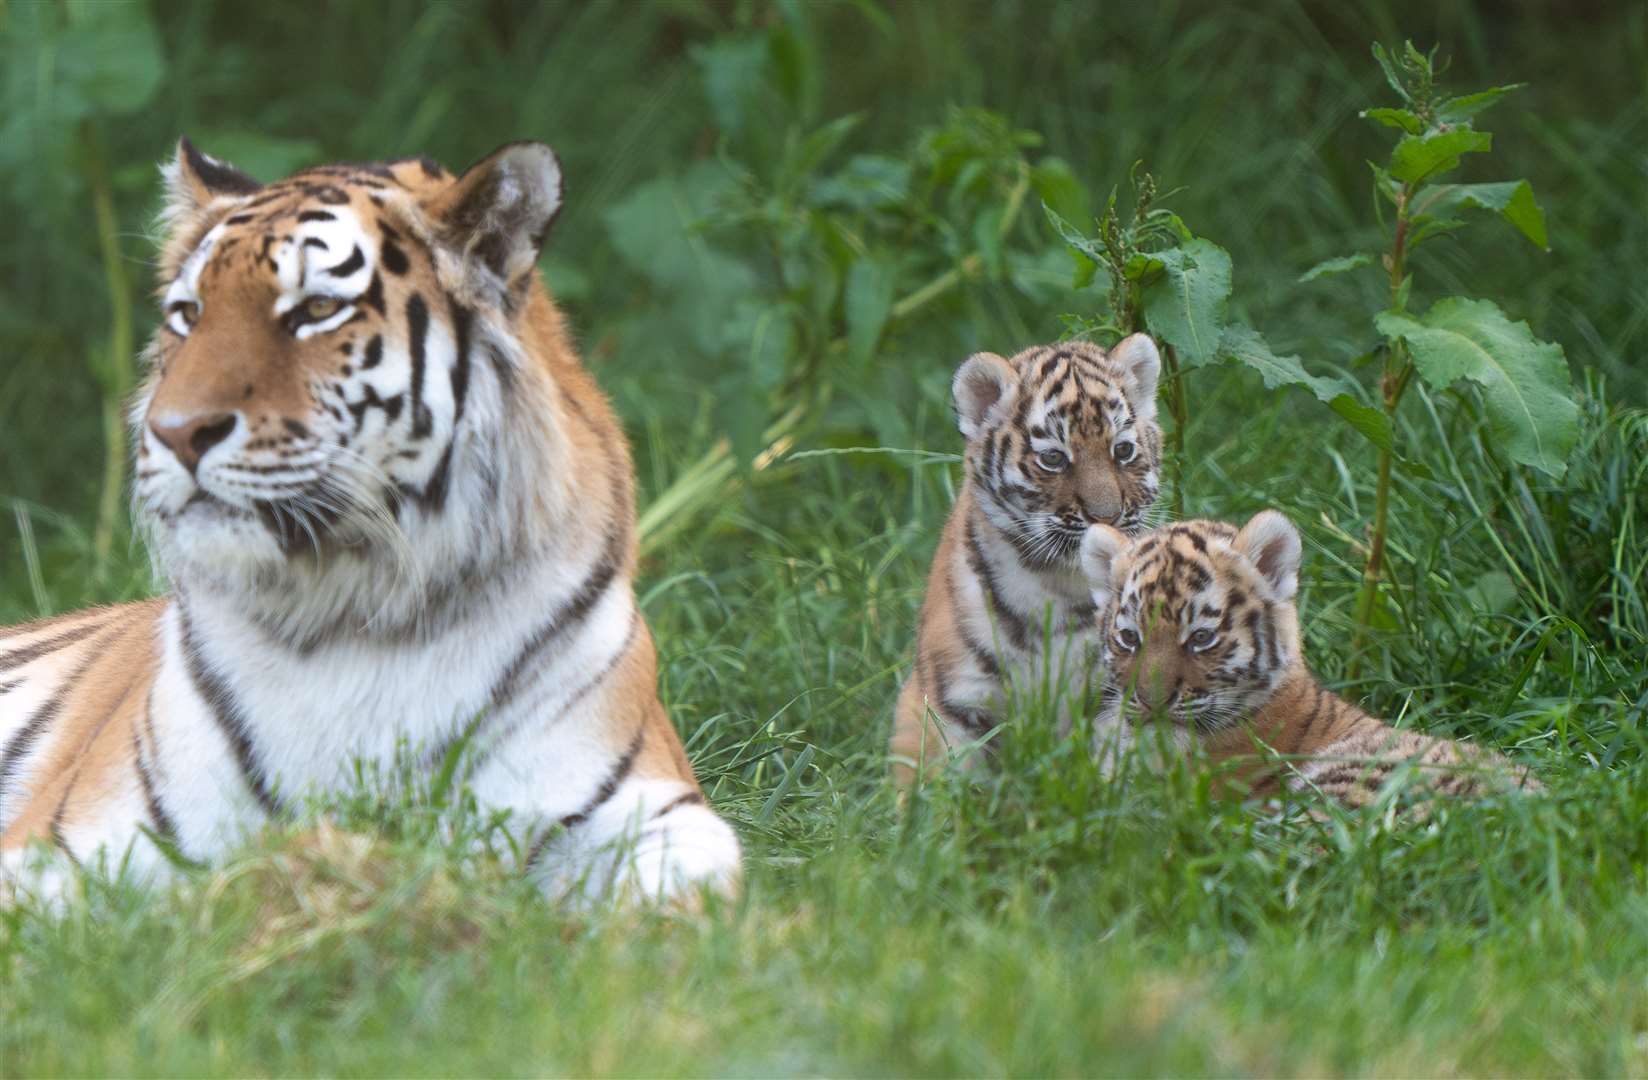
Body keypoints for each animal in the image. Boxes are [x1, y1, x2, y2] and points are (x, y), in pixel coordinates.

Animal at [0, 139, 741, 910]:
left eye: (317, 309)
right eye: (188, 314)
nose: (173, 432)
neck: (357, 610)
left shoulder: (653, 809)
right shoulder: (64, 842)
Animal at [896, 338, 1166, 784]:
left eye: (1123, 450)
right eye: (1054, 459)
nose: (1107, 517)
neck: (1056, 582)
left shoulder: (1116, 695)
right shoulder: (956, 701)